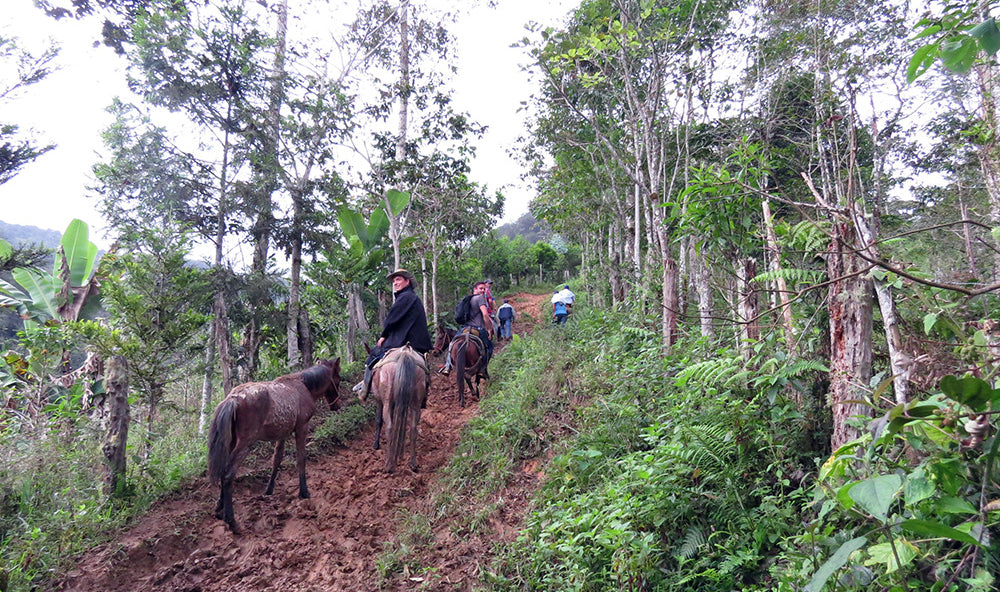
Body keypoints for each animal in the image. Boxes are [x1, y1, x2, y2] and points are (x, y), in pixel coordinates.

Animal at [206, 358, 340, 536]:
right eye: (338, 378)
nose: (337, 405)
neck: (304, 386)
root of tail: (233, 399)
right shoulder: (301, 427)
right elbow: (301, 458)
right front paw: (304, 491)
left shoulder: (283, 433)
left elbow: (276, 459)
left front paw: (269, 490)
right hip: (245, 443)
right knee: (228, 474)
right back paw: (232, 522)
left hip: (232, 441)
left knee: (223, 470)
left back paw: (219, 508)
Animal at [360, 344, 430, 474]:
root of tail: (405, 354)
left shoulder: (379, 400)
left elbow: (379, 421)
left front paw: (376, 445)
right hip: (415, 403)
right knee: (413, 428)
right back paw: (413, 463)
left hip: (387, 400)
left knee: (389, 427)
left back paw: (389, 465)